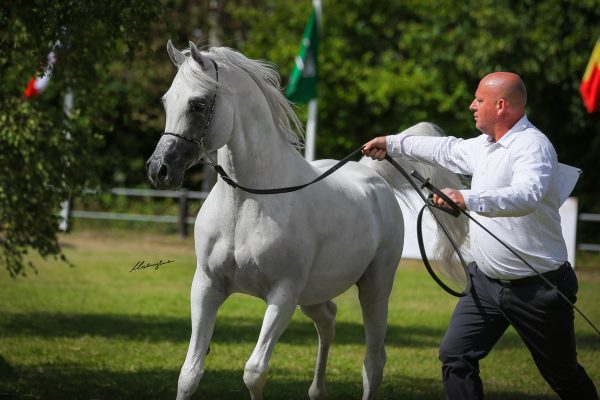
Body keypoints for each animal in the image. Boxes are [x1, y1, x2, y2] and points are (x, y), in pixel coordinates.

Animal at [146, 41, 468, 400]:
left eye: (198, 104)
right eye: (166, 101)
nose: (159, 170)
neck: (248, 202)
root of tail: (372, 177)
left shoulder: (283, 294)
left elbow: (254, 372)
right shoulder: (206, 286)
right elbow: (190, 373)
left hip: (374, 289)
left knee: (373, 362)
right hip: (312, 296)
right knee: (328, 322)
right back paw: (317, 390)